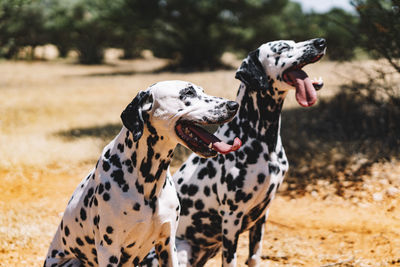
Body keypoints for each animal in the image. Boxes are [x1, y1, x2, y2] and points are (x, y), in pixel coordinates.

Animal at [43, 80, 241, 266]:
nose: (234, 105)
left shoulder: (168, 244)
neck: (148, 181)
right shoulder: (109, 250)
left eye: (202, 90)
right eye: (188, 93)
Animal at [141, 37, 324, 267]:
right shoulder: (231, 218)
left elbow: (254, 256)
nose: (320, 42)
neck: (262, 139)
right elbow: (231, 260)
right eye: (283, 48)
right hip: (180, 249)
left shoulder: (262, 215)